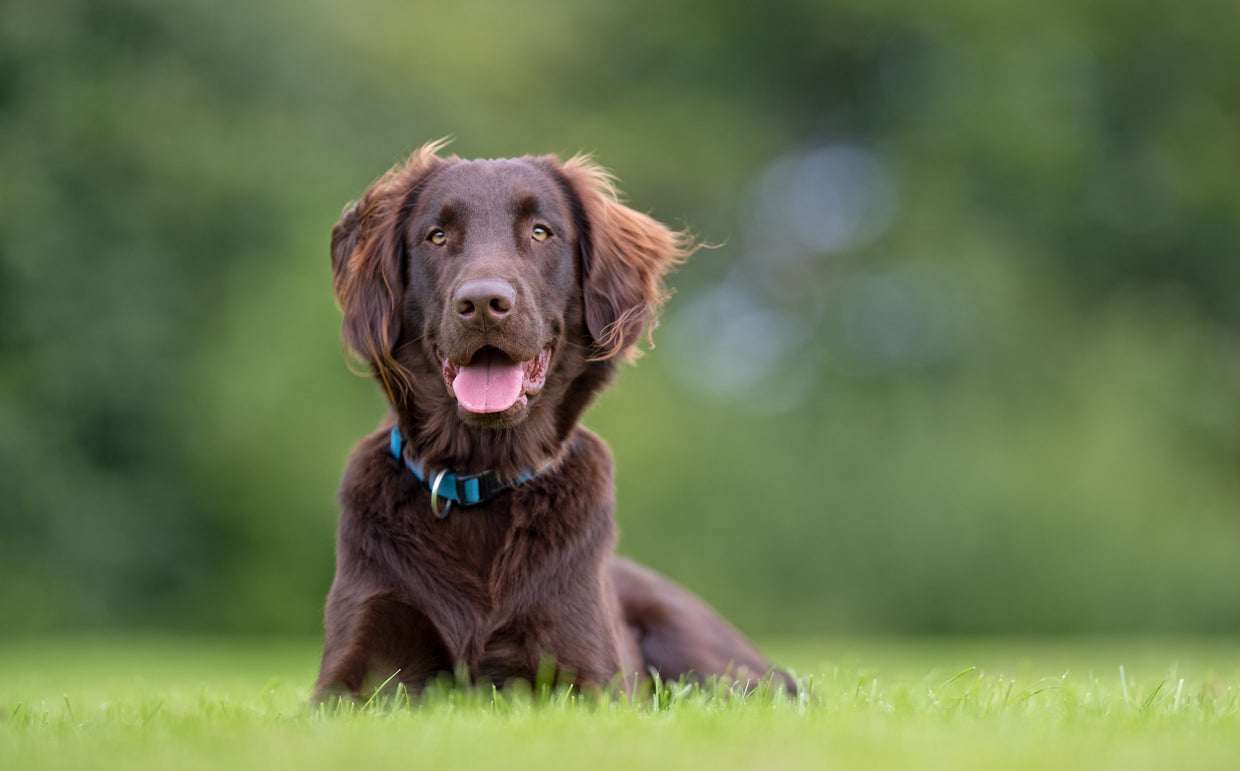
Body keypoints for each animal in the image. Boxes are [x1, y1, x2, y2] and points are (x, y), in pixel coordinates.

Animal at [314, 141, 788, 704]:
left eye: (541, 232)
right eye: (437, 235)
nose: (482, 304)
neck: (482, 475)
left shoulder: (589, 677)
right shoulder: (352, 672)